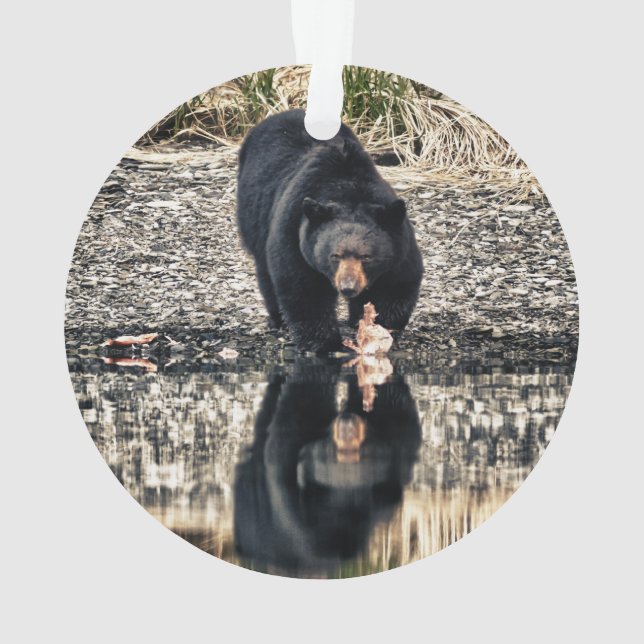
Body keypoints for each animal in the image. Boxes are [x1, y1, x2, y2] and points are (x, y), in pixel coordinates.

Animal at [236, 109, 423, 353]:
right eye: (334, 256)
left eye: (366, 256)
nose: (348, 287)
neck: (348, 187)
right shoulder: (295, 229)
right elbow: (303, 289)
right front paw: (326, 343)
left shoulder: (399, 240)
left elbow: (396, 284)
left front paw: (379, 330)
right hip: (254, 217)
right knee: (265, 269)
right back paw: (278, 320)